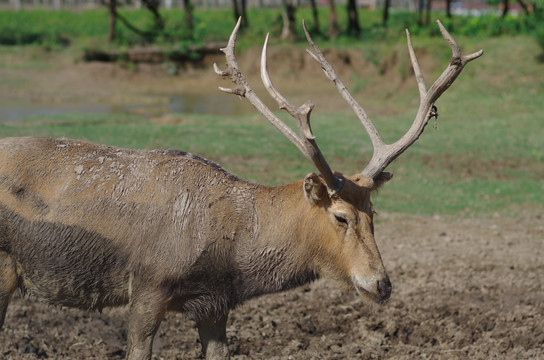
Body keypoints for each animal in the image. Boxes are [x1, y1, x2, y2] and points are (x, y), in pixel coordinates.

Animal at [0, 19, 482, 360]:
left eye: (374, 215)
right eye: (341, 216)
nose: (381, 285)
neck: (229, 252)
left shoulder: (215, 305)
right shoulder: (147, 286)